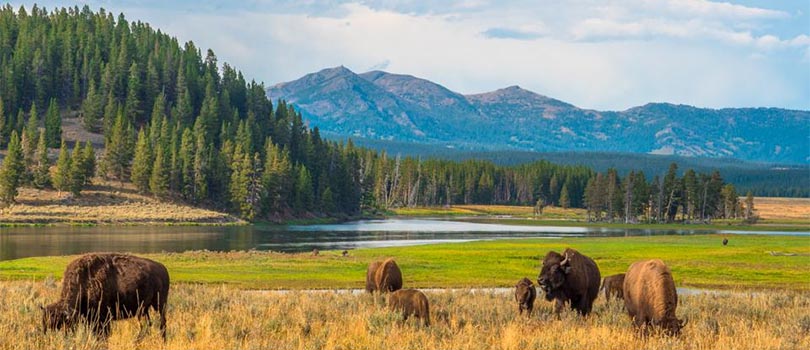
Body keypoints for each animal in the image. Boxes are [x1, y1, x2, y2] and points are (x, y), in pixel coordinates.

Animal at [41, 253, 170, 340]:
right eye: (44, 324)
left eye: (59, 324)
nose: (49, 338)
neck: (84, 281)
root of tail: (163, 268)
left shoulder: (103, 319)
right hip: (144, 310)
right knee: (147, 325)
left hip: (160, 305)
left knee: (162, 323)